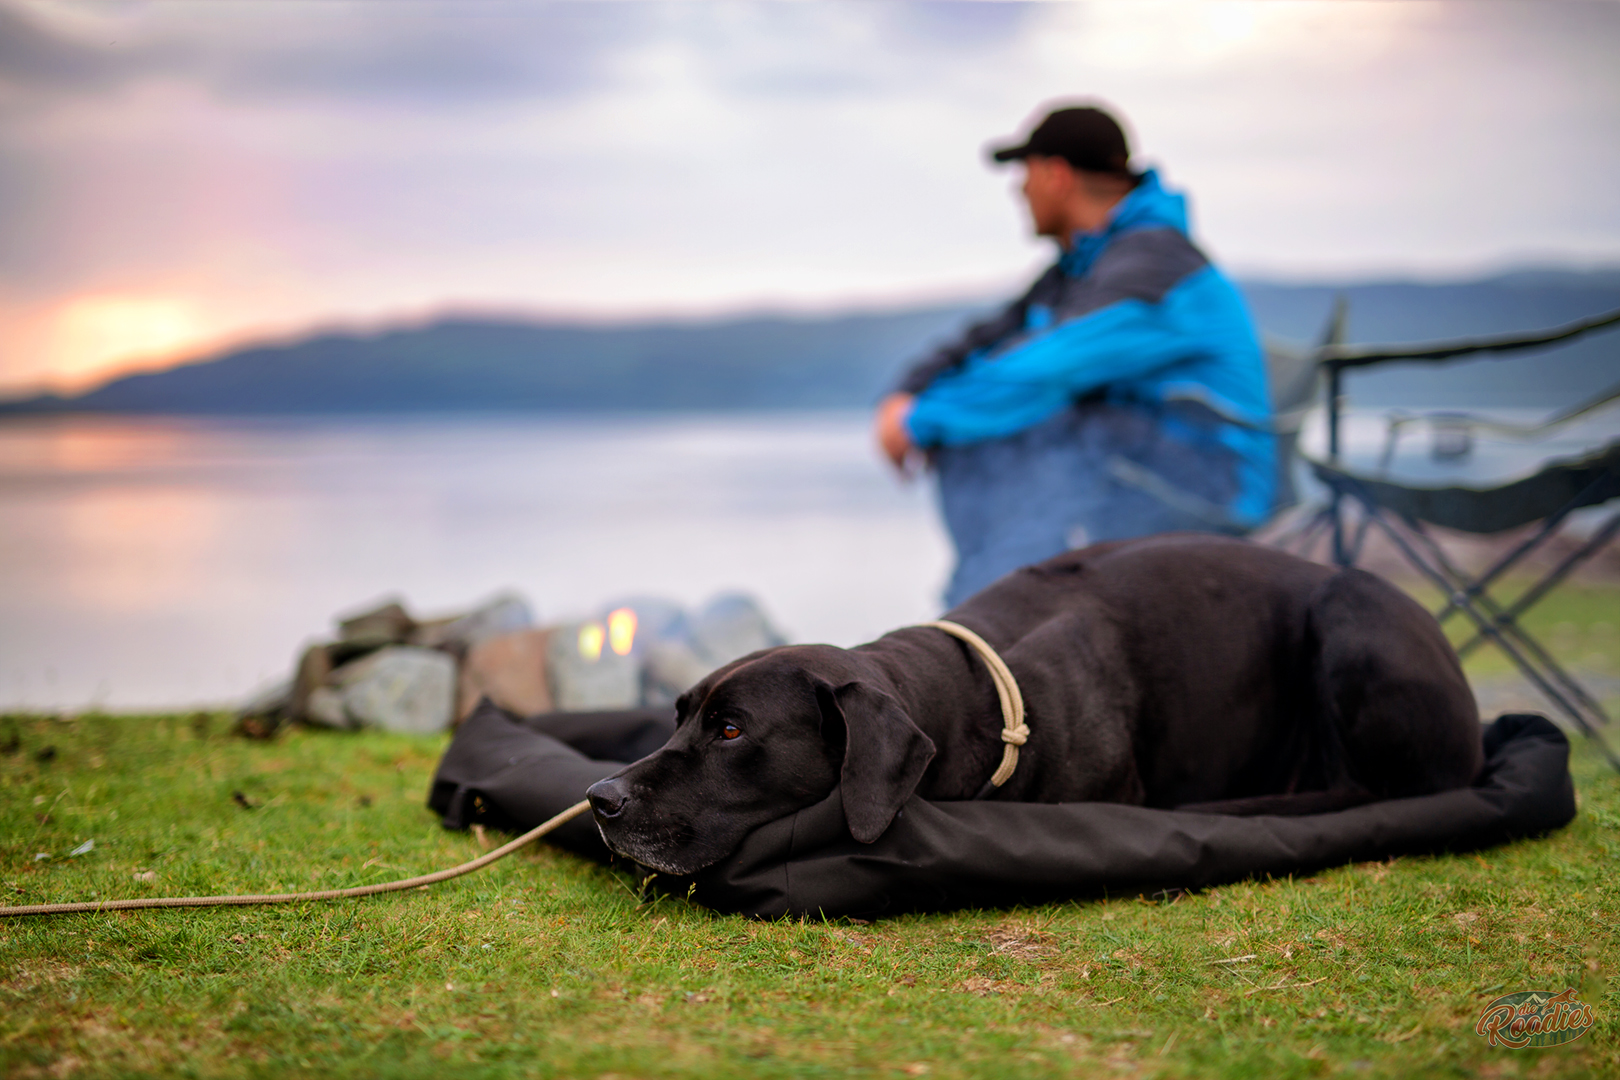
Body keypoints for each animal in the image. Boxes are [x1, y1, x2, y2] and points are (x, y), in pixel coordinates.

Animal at [589, 534, 1483, 880]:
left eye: (731, 729)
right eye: (676, 716)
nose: (599, 797)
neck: (974, 695)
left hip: (1353, 613)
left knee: (1374, 790)